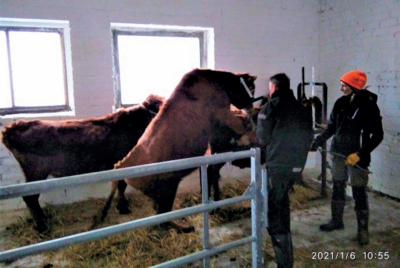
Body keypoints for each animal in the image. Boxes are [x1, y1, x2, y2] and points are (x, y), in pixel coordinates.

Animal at [0, 94, 164, 232]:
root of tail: (13, 128)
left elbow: (119, 186)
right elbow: (122, 185)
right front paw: (123, 208)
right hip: (35, 173)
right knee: (30, 198)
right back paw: (41, 226)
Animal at [99, 68, 256, 231]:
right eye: (251, 87)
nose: (251, 105)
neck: (216, 81)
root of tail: (121, 165)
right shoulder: (223, 113)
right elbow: (241, 125)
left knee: (160, 215)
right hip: (167, 191)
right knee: (163, 218)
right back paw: (182, 227)